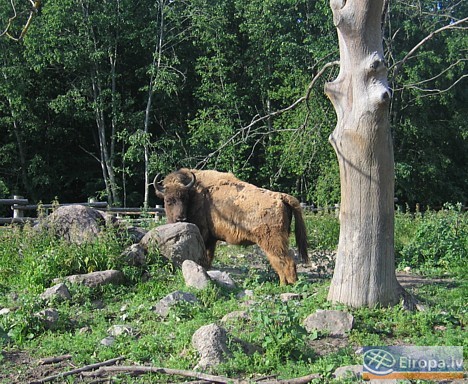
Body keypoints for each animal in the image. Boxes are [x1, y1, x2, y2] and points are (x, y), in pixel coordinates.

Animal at [153, 169, 308, 284]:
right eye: (168, 200)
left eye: (185, 198)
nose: (180, 219)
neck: (195, 193)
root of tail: (281, 197)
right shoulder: (211, 240)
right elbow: (208, 258)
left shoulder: (204, 235)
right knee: (282, 263)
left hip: (272, 242)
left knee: (286, 262)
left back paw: (288, 285)